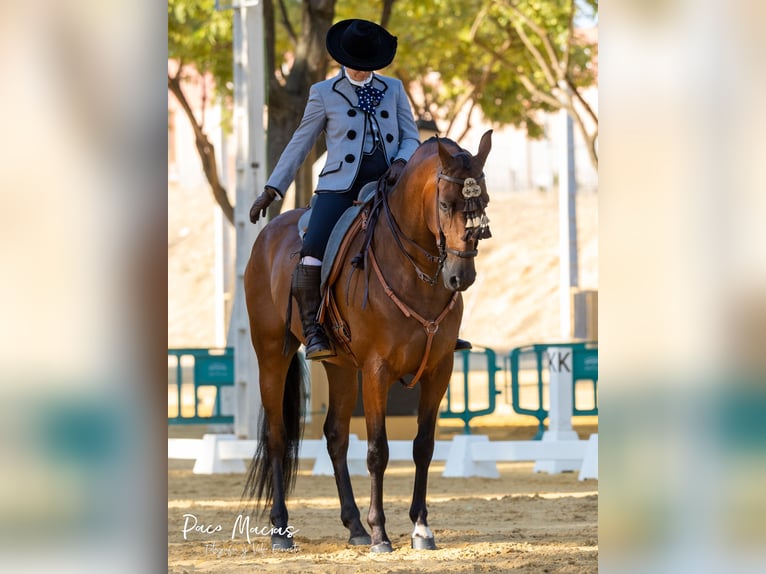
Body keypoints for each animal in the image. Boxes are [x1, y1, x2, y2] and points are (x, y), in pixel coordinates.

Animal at [243, 130, 496, 552]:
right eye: (445, 204)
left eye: (484, 202)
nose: (461, 276)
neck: (417, 271)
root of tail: (268, 234)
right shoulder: (378, 370)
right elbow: (378, 449)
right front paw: (381, 532)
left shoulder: (439, 369)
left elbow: (423, 446)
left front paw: (420, 528)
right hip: (271, 355)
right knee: (278, 436)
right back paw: (282, 530)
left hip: (341, 367)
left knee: (336, 436)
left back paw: (354, 525)